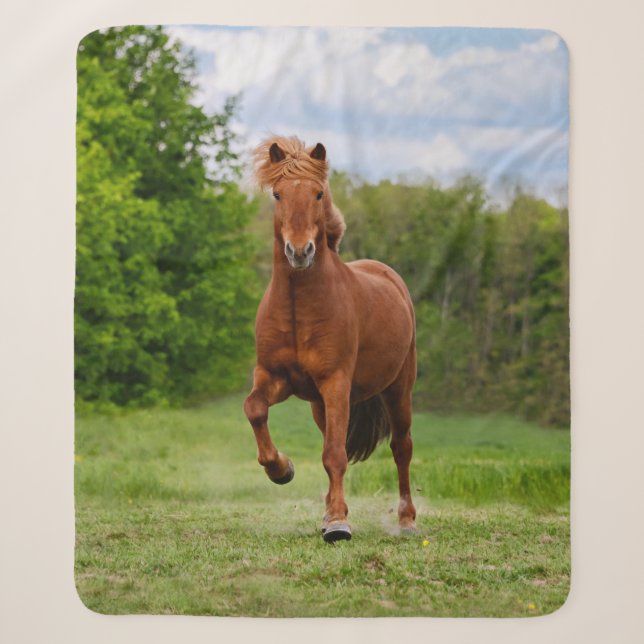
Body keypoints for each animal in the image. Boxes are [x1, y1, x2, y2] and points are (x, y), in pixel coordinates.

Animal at [243, 136, 417, 542]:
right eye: (277, 194)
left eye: (318, 194)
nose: (300, 251)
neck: (298, 308)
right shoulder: (274, 378)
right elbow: (255, 408)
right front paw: (282, 469)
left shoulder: (336, 382)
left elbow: (335, 454)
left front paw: (338, 524)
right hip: (319, 406)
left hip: (398, 389)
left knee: (401, 447)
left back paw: (406, 520)